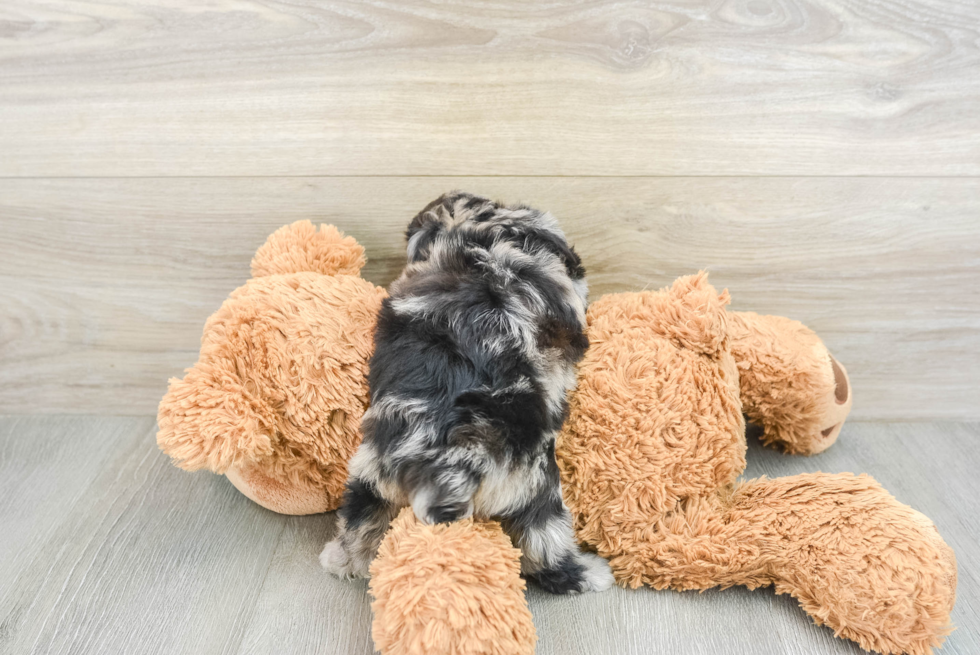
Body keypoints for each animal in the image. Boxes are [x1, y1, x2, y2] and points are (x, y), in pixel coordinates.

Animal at [320, 192, 612, 596]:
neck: (481, 239)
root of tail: (453, 462)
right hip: (536, 485)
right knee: (545, 545)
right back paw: (591, 573)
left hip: (372, 470)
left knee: (361, 518)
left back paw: (342, 559)